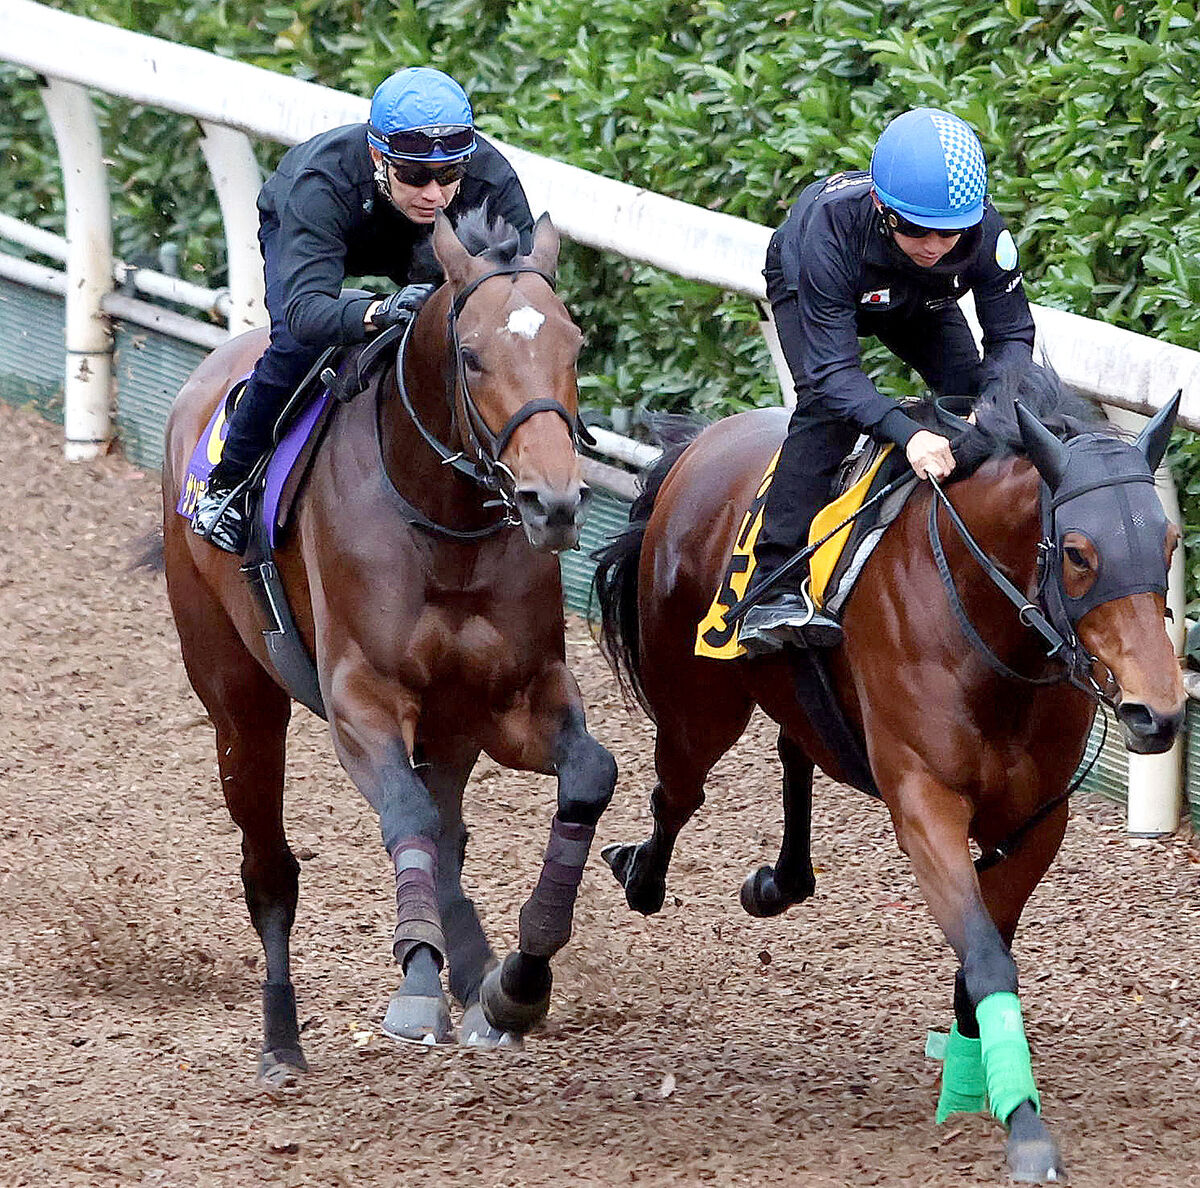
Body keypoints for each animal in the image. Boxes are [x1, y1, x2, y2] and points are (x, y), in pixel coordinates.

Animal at [160, 208, 619, 1084]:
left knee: (447, 830)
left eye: (573, 344)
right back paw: (282, 1042)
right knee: (271, 866)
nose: (553, 502)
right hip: (237, 700)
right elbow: (405, 813)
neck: (443, 524)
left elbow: (588, 774)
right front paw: (416, 981)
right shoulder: (359, 697)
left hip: (448, 727)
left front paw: (517, 981)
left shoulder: (512, 696)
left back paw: (475, 980)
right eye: (471, 354)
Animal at [590, 357, 1180, 1185]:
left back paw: (778, 881)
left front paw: (972, 1081)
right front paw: (1025, 1125)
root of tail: (699, 444)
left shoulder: (1040, 821)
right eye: (1078, 553)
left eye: (1170, 541)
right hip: (696, 705)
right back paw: (637, 873)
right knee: (677, 791)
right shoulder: (926, 806)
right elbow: (988, 958)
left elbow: (986, 949)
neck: (987, 630)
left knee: (791, 753)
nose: (1158, 713)